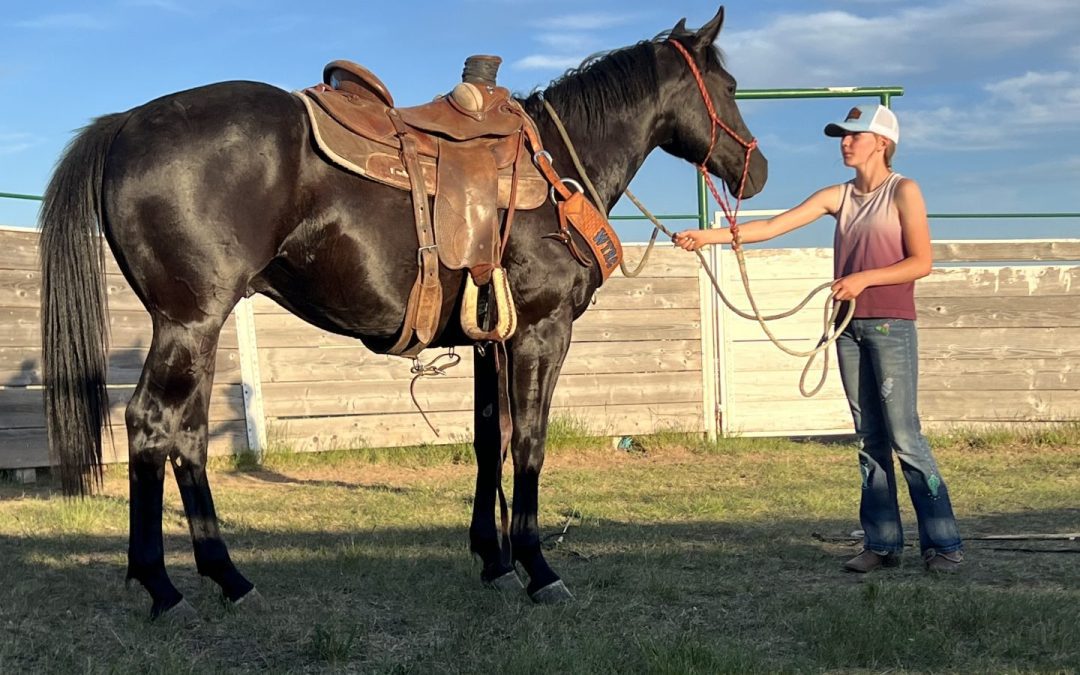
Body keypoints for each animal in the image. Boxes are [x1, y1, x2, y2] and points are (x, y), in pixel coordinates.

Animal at [38, 5, 764, 617]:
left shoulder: (489, 340)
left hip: (199, 331)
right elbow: (528, 443)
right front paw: (537, 567)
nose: (755, 172)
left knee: (186, 435)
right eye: (728, 85)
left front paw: (493, 559)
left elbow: (487, 440)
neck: (557, 167)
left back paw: (229, 577)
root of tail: (125, 122)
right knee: (149, 424)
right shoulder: (540, 333)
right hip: (187, 325)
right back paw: (160, 587)